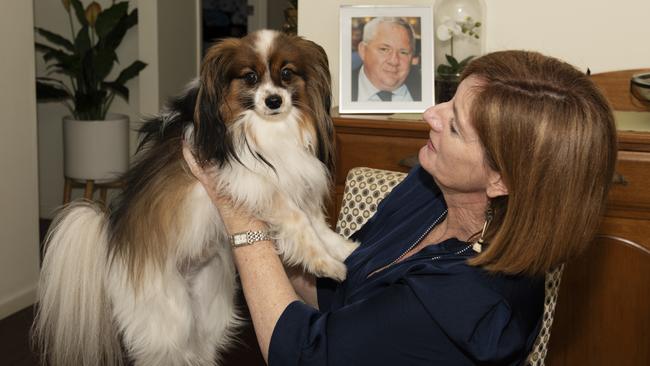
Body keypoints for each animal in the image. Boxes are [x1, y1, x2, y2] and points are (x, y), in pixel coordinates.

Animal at [33, 29, 356, 366]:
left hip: (209, 312)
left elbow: (314, 220)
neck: (267, 127)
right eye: (250, 77)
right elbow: (297, 218)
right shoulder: (251, 181)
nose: (274, 100)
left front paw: (342, 249)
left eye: (287, 73)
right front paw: (326, 264)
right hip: (165, 324)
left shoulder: (295, 177)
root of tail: (111, 241)